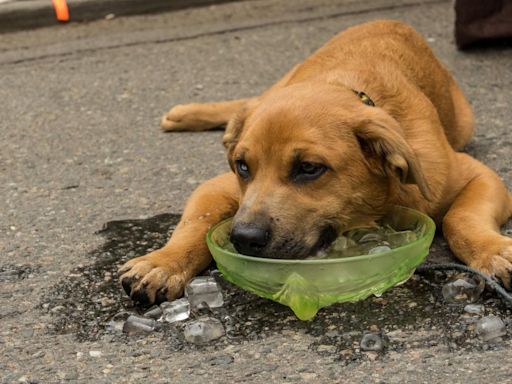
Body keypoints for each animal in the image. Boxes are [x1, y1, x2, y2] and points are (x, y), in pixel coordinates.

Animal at [119, 20, 512, 306]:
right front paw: (162, 263)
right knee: (248, 102)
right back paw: (185, 114)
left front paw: (494, 252)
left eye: (309, 168)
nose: (243, 238)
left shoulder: (477, 176)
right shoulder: (217, 187)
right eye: (242, 166)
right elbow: (193, 225)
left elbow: (462, 218)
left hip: (464, 121)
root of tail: (391, 20)